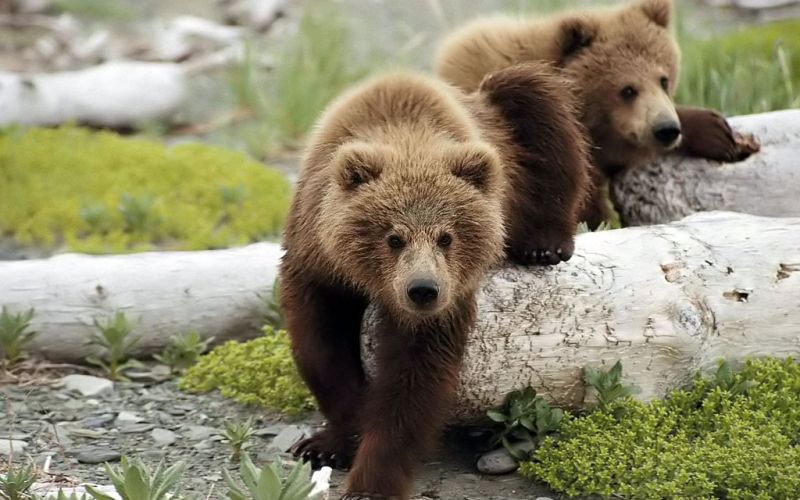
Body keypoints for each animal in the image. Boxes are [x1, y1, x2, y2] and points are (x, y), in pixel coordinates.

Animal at [279, 64, 591, 499]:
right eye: (393, 238)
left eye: (447, 237)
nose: (423, 289)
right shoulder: (316, 258)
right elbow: (322, 348)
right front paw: (328, 441)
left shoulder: (445, 300)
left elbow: (414, 379)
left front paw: (371, 482)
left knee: (537, 106)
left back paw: (543, 244)